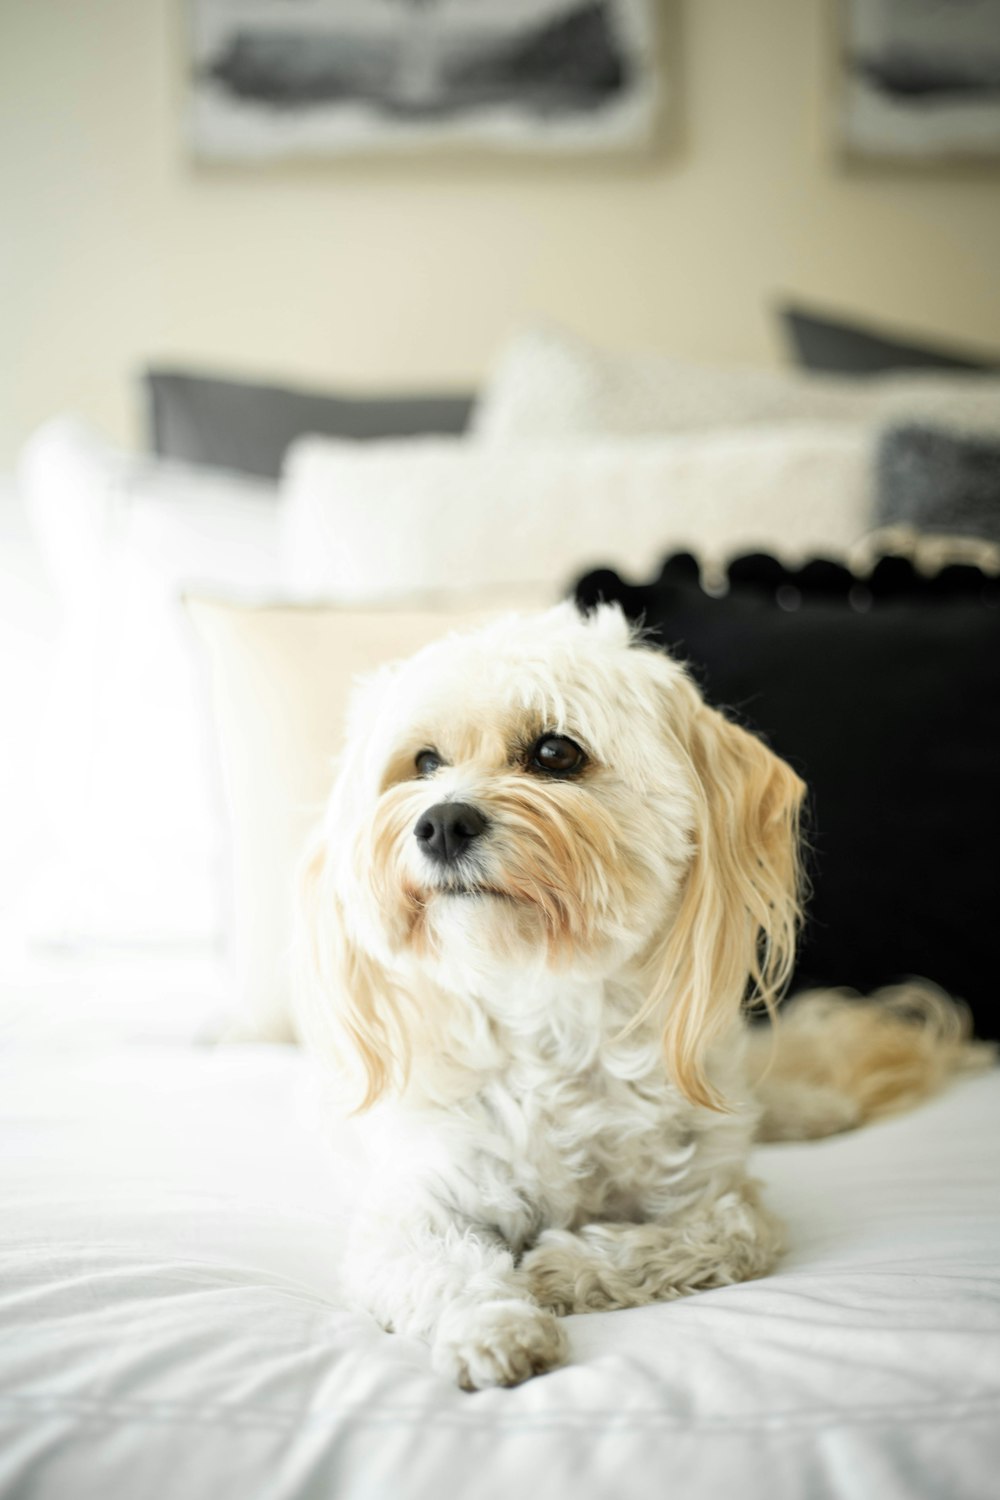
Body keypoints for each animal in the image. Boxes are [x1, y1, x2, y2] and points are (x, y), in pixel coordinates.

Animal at [293, 600, 983, 1392]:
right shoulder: (414, 1205)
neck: (550, 1008)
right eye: (425, 763)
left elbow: (713, 1234)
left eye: (556, 753)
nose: (439, 822)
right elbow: (442, 1268)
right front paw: (497, 1329)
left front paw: (561, 1268)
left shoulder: (719, 1198)